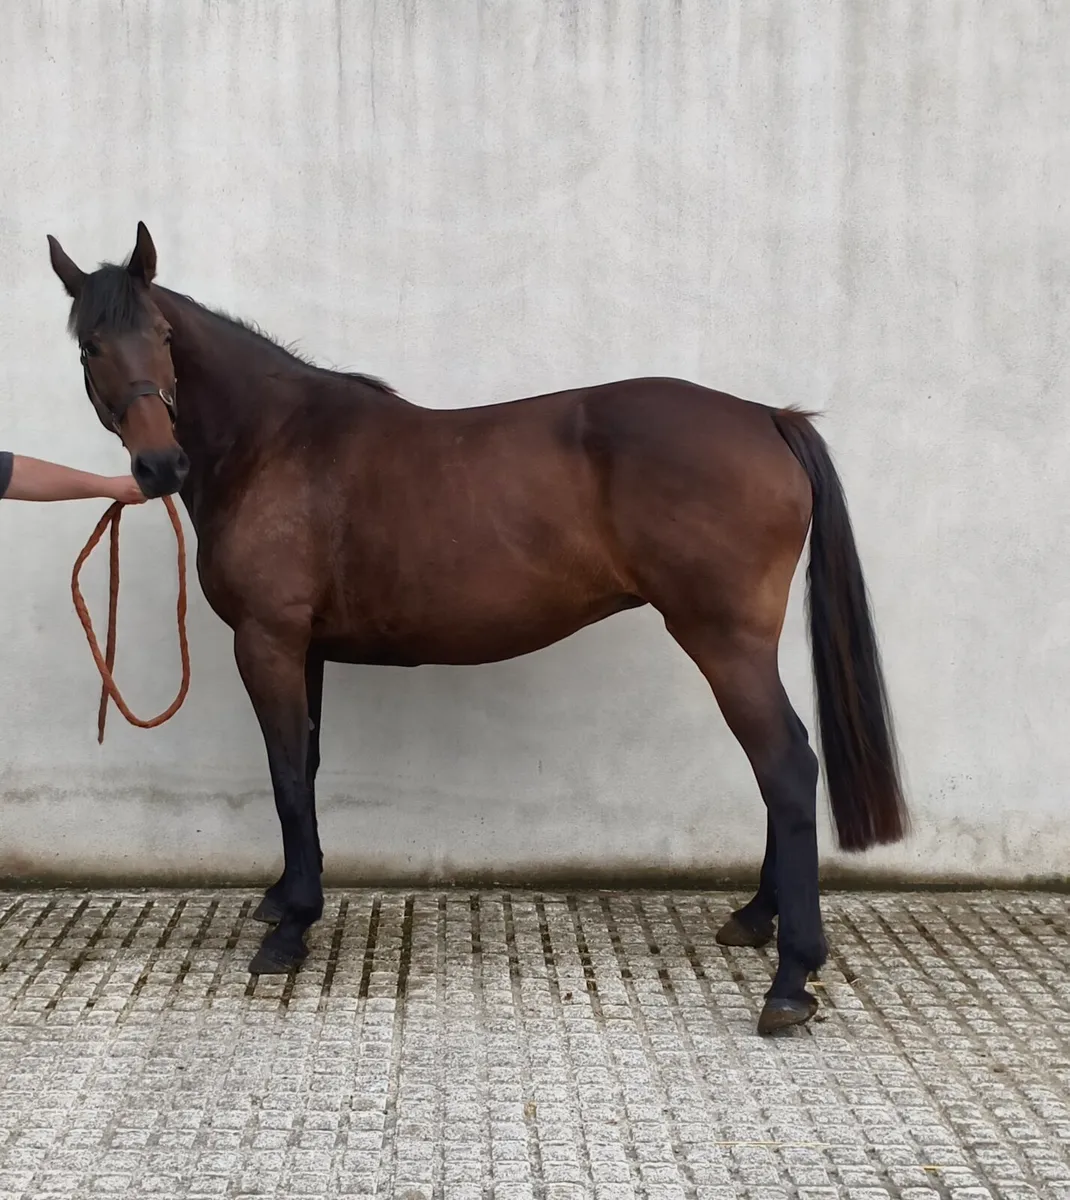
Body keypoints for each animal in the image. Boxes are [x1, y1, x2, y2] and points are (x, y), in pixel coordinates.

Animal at [46, 223, 907, 1034]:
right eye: (90, 345)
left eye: (162, 335)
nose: (160, 466)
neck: (273, 442)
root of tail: (768, 418)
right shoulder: (304, 649)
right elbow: (308, 768)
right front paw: (287, 896)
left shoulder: (267, 641)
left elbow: (287, 776)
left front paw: (290, 931)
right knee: (779, 766)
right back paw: (755, 918)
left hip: (723, 641)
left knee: (787, 765)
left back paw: (791, 979)